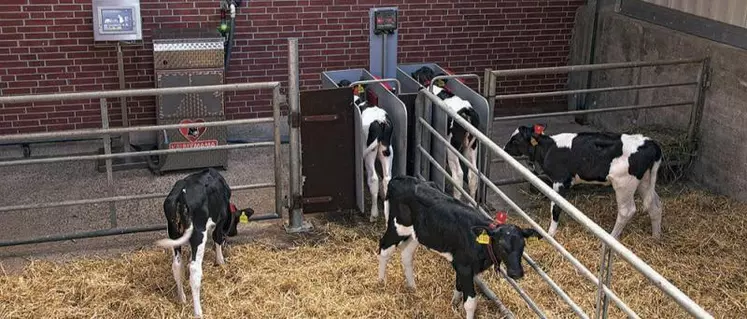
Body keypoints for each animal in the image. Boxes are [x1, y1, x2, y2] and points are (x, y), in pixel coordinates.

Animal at [155, 169, 254, 318]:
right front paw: (221, 261)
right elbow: (217, 237)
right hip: (198, 233)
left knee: (177, 265)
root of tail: (180, 192)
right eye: (236, 220)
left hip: (173, 233)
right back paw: (198, 312)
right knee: (194, 269)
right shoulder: (221, 218)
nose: (234, 232)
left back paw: (182, 299)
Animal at [338, 80, 398, 222]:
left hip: (371, 152)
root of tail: (380, 120)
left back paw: (373, 214)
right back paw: (387, 215)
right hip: (386, 150)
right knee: (387, 179)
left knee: (374, 178)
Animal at [376, 176, 540, 318]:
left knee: (406, 254)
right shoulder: (465, 266)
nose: (516, 273)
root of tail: (399, 179)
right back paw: (381, 283)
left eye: (523, 245)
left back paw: (412, 287)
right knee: (384, 248)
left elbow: (459, 286)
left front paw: (454, 304)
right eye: (501, 244)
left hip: (417, 233)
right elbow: (470, 302)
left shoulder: (462, 265)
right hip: (398, 226)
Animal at [410, 67, 480, 201]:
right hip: (472, 145)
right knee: (473, 174)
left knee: (458, 174)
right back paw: (470, 203)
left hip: (451, 146)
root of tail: (467, 110)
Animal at [506, 125, 664, 240]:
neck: (549, 148)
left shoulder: (560, 181)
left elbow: (556, 207)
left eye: (515, 140)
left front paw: (550, 234)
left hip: (624, 183)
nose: (504, 148)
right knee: (655, 205)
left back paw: (612, 237)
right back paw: (655, 237)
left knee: (627, 211)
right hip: (644, 181)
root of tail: (650, 142)